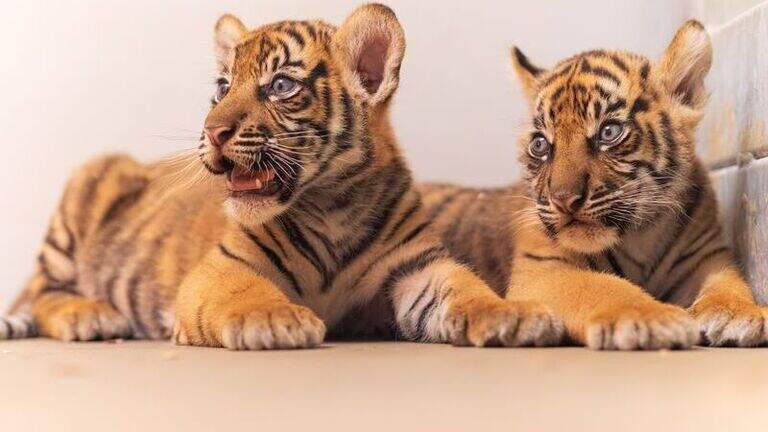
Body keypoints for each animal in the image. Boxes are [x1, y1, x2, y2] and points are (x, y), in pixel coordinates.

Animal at [0, 4, 564, 350]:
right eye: (222, 87)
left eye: (280, 86)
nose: (213, 131)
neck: (334, 205)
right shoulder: (221, 267)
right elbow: (245, 293)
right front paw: (277, 320)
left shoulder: (418, 268)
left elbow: (469, 291)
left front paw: (515, 315)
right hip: (92, 177)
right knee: (37, 292)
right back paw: (90, 315)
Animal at [423, 20, 768, 350]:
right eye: (540, 144)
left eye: (609, 132)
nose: (563, 199)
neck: (641, 236)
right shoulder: (543, 270)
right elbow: (604, 286)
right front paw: (651, 318)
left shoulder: (708, 258)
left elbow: (730, 284)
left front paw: (741, 314)